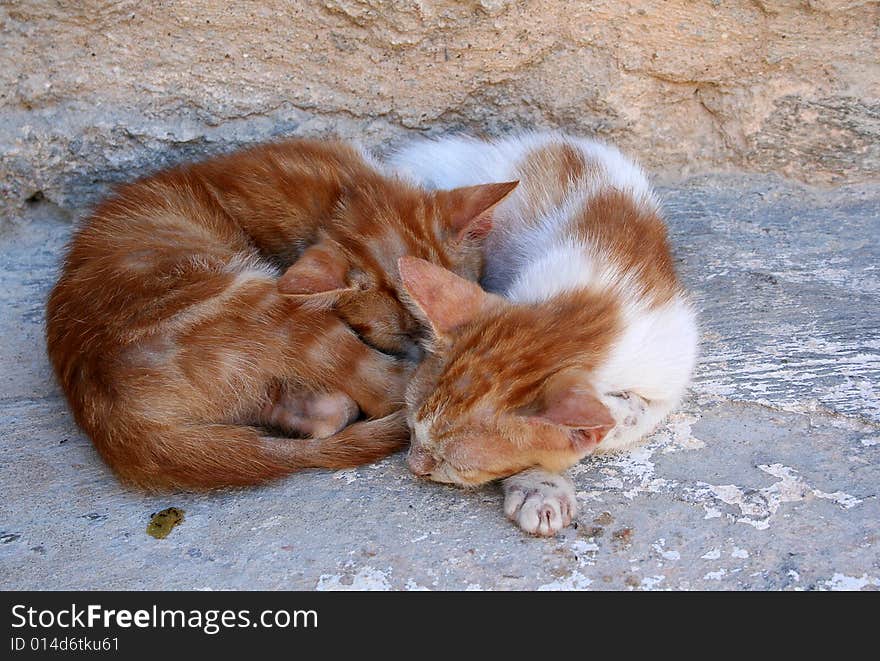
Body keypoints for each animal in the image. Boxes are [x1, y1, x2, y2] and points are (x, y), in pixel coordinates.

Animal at [46, 139, 516, 490]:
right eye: (397, 337)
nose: (431, 347)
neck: (340, 193)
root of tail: (112, 421)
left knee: (321, 415)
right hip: (266, 298)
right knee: (383, 391)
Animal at [388, 133, 696, 536]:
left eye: (456, 465)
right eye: (410, 427)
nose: (412, 466)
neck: (592, 307)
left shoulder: (674, 354)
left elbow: (640, 414)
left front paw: (611, 419)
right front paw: (541, 485)